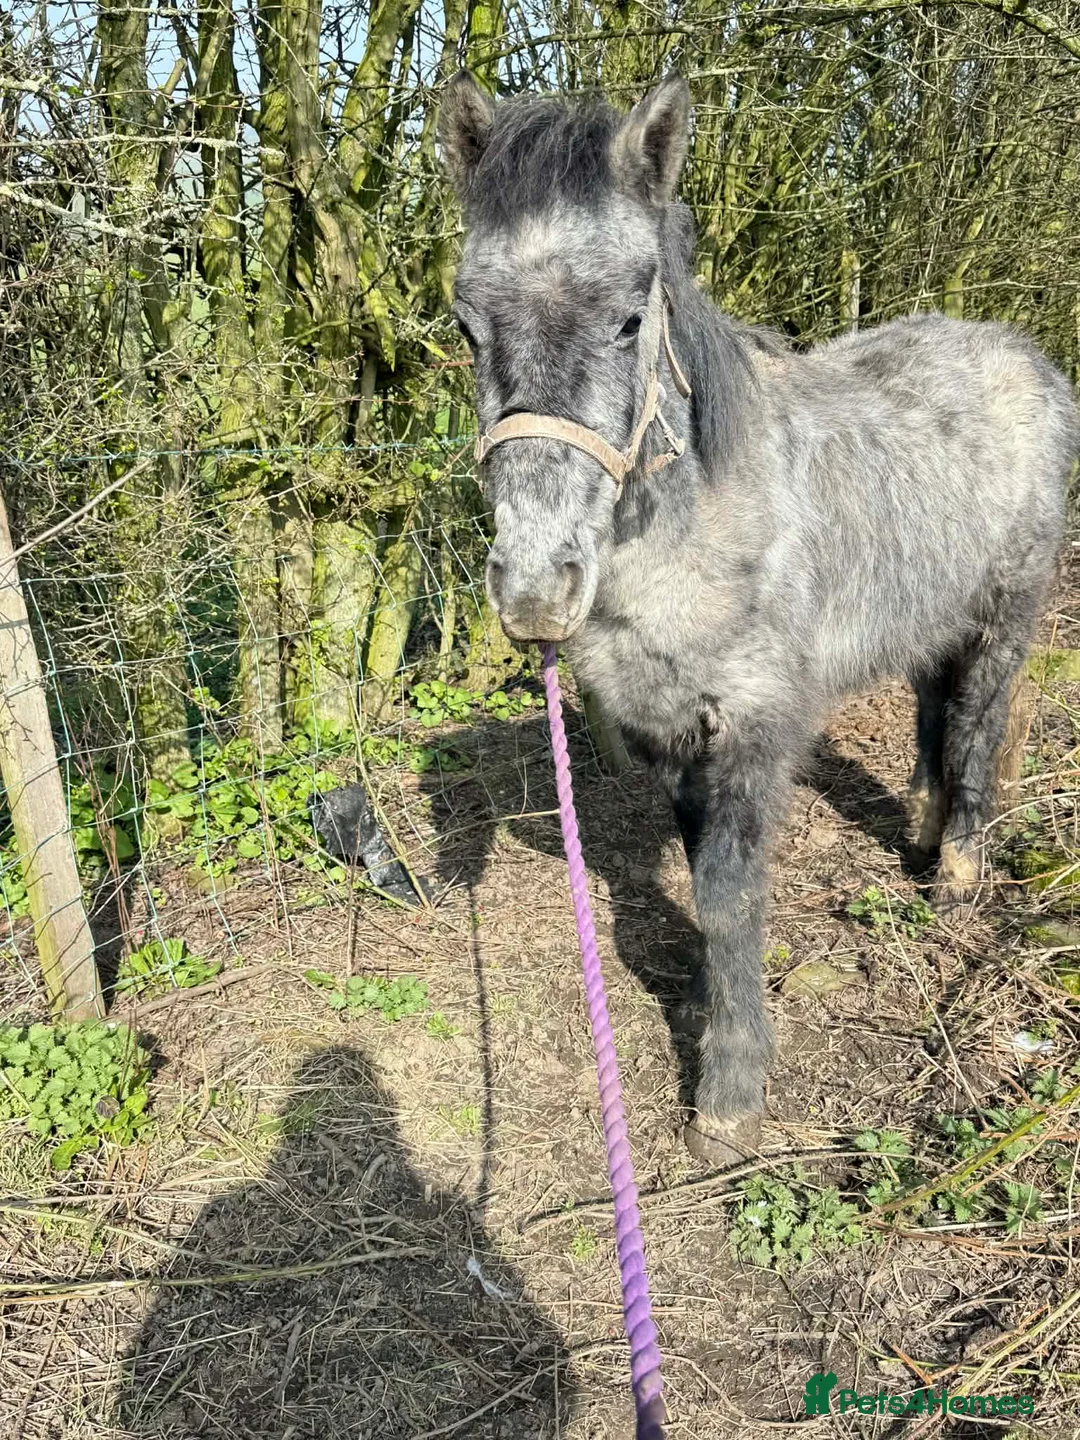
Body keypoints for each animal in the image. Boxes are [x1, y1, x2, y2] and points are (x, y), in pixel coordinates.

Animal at [437, 72, 1079, 1166]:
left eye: (629, 318)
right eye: (469, 326)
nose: (534, 590)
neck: (698, 528)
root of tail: (1019, 355)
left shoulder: (752, 729)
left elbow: (732, 892)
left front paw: (730, 1094)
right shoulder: (668, 731)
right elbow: (701, 877)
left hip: (1009, 608)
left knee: (978, 720)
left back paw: (957, 871)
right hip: (929, 610)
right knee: (933, 709)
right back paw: (919, 826)